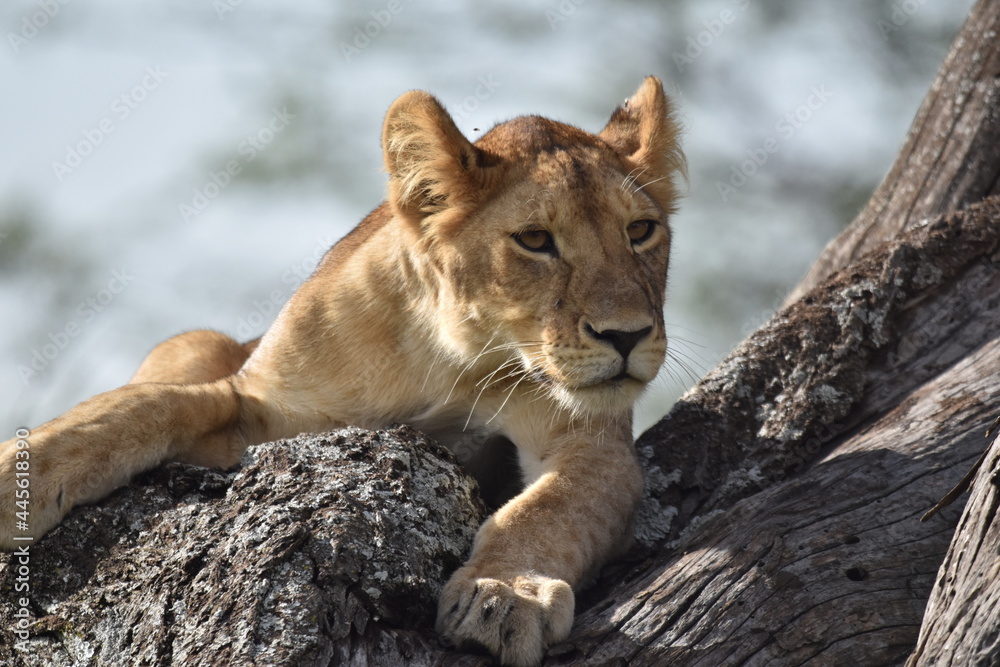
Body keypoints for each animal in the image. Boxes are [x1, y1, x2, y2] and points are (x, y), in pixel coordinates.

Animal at [0, 76, 684, 666]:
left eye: (641, 231)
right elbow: (147, 407)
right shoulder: (263, 408)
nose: (626, 336)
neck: (451, 359)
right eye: (536, 241)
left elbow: (548, 509)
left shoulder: (589, 441)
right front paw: (15, 480)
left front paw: (506, 594)